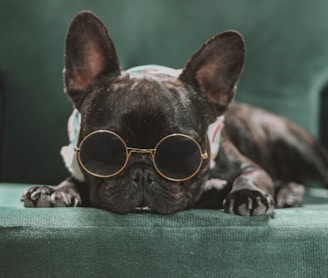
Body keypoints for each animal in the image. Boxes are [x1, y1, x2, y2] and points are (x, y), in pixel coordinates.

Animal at [21, 10, 328, 215]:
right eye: (103, 151)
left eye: (181, 153)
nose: (142, 173)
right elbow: (74, 178)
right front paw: (54, 190)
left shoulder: (249, 166)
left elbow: (251, 175)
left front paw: (247, 195)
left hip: (299, 147)